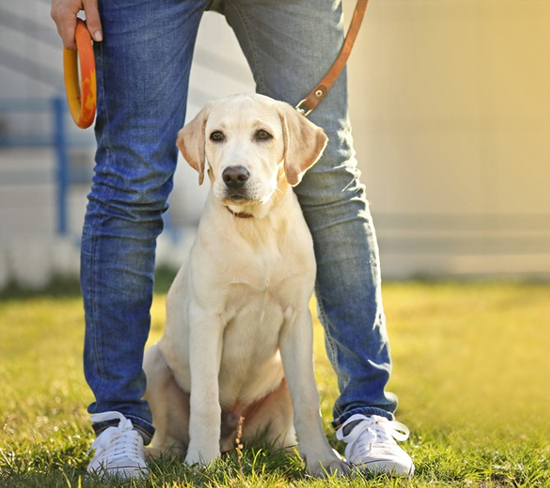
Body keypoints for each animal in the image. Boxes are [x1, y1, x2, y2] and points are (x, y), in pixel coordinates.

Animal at [144, 93, 348, 474]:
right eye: (216, 136)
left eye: (263, 135)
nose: (234, 175)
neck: (257, 228)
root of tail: (233, 438)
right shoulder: (207, 319)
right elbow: (205, 400)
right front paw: (201, 462)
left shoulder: (297, 321)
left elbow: (308, 399)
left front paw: (323, 460)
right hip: (154, 362)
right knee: (172, 438)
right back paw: (159, 455)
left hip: (279, 382)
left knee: (278, 435)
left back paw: (290, 451)